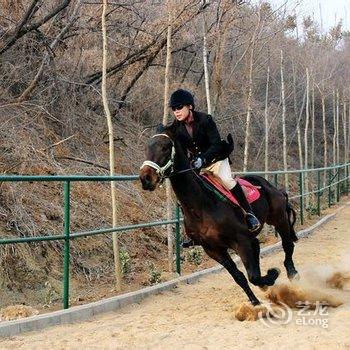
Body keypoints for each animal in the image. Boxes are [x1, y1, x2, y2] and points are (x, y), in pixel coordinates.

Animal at [139, 124, 298, 304]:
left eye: (165, 148)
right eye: (147, 147)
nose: (145, 178)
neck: (201, 206)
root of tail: (270, 185)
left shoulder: (240, 241)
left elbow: (253, 276)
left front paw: (272, 275)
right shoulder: (213, 249)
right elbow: (240, 277)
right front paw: (255, 300)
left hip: (279, 219)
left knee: (287, 245)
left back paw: (292, 273)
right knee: (257, 246)